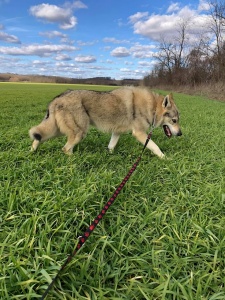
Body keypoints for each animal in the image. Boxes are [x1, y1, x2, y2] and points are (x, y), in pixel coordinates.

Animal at [29, 86, 182, 158]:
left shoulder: (116, 132)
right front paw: (165, 158)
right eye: (174, 120)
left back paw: (31, 152)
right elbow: (155, 147)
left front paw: (110, 156)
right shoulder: (139, 134)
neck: (152, 107)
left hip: (58, 131)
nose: (180, 134)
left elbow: (111, 146)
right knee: (65, 149)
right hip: (78, 133)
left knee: (38, 137)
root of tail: (57, 98)